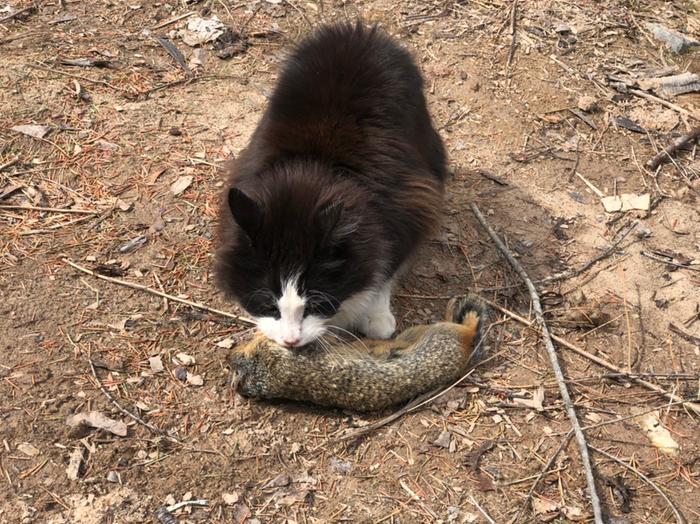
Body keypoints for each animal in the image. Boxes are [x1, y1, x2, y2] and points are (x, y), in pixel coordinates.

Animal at [213, 20, 446, 348]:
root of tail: (358, 30)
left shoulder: (411, 205)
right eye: (269, 304)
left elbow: (384, 267)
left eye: (316, 304)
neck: (311, 172)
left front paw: (376, 317)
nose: (290, 341)